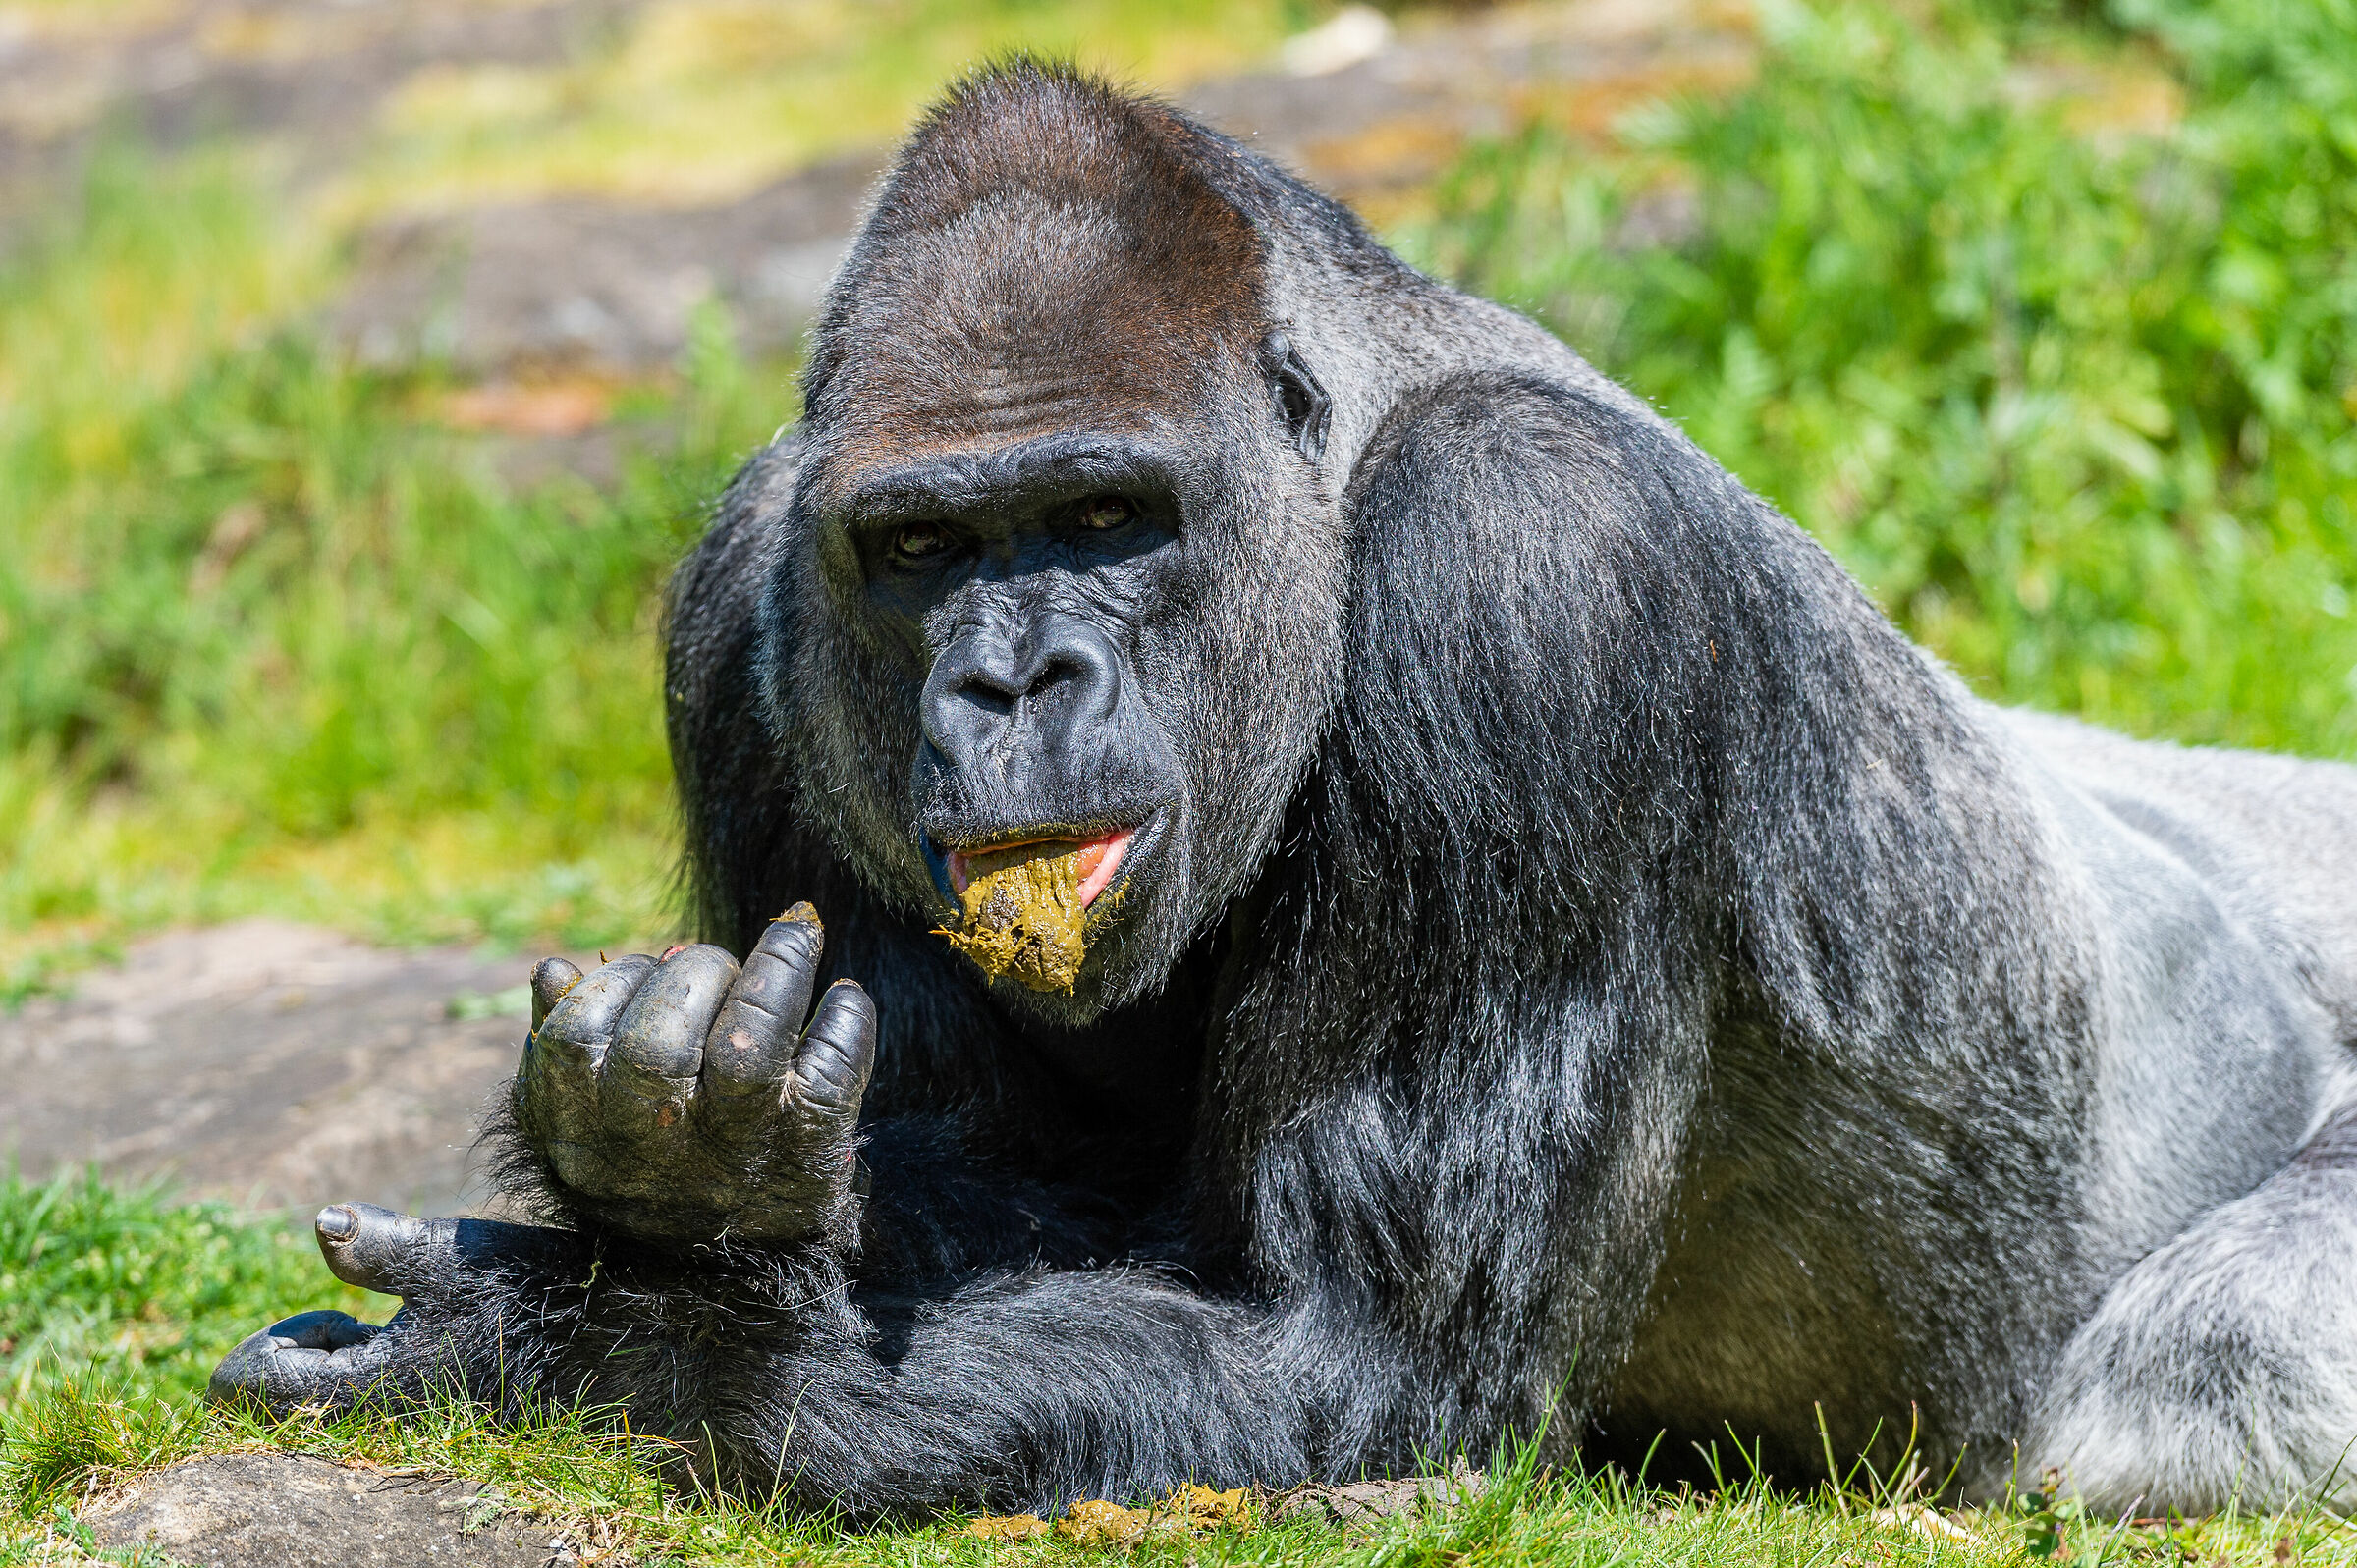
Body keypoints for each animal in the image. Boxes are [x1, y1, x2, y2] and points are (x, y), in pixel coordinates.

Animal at [213, 60, 2357, 1519]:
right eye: (918, 550)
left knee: (2191, 1369)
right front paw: (687, 1194)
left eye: (1106, 514)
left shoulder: (1528, 572)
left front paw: (639, 1338)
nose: (1013, 678)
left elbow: (1359, 1351)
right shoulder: (746, 587)